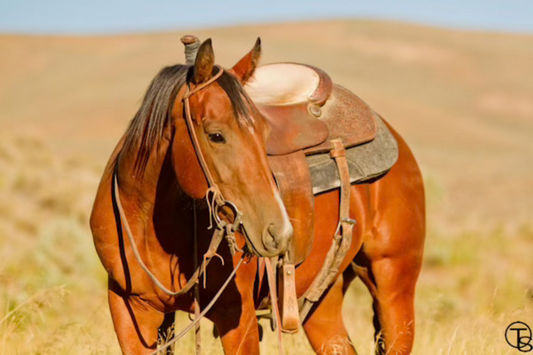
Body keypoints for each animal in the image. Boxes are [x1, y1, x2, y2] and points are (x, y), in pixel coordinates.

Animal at [90, 37, 424, 354]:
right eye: (216, 135)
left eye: (265, 133)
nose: (279, 232)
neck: (148, 223)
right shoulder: (130, 311)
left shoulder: (236, 317)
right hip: (323, 302)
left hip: (393, 284)